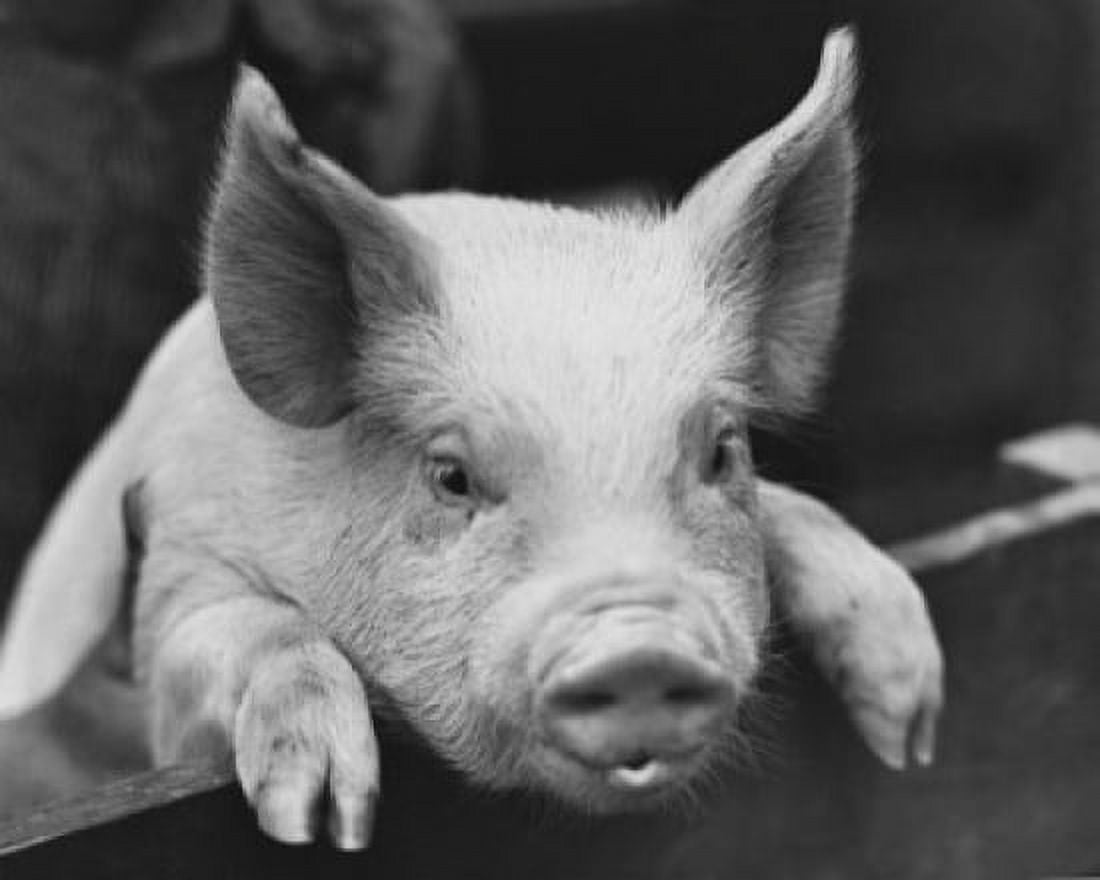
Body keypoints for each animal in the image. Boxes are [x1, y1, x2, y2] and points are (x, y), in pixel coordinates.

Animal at [0, 27, 941, 850]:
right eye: (451, 475)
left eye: (722, 451)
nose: (638, 646)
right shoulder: (171, 576)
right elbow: (253, 628)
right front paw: (321, 821)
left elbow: (798, 516)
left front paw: (909, 720)